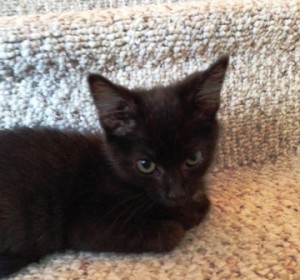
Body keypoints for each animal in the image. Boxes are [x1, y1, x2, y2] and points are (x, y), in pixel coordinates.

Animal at [0, 55, 229, 278]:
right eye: (145, 165)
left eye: (194, 158)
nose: (176, 193)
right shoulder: (90, 223)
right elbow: (174, 231)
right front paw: (181, 218)